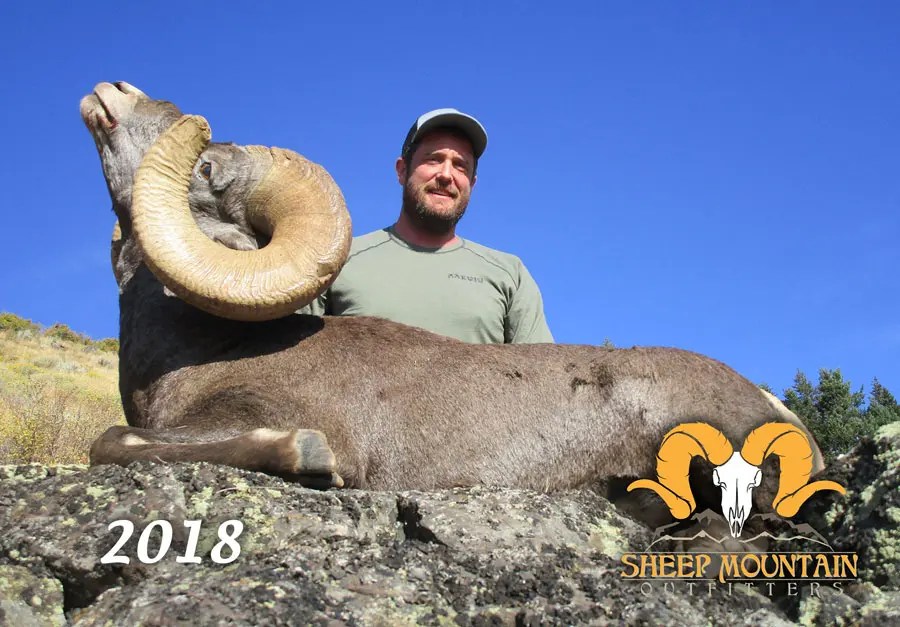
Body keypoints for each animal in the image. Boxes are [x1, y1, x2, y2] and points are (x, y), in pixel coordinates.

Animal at [81, 82, 826, 523]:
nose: (112, 92)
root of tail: (775, 408)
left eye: (205, 169)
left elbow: (108, 441)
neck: (203, 350)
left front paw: (311, 457)